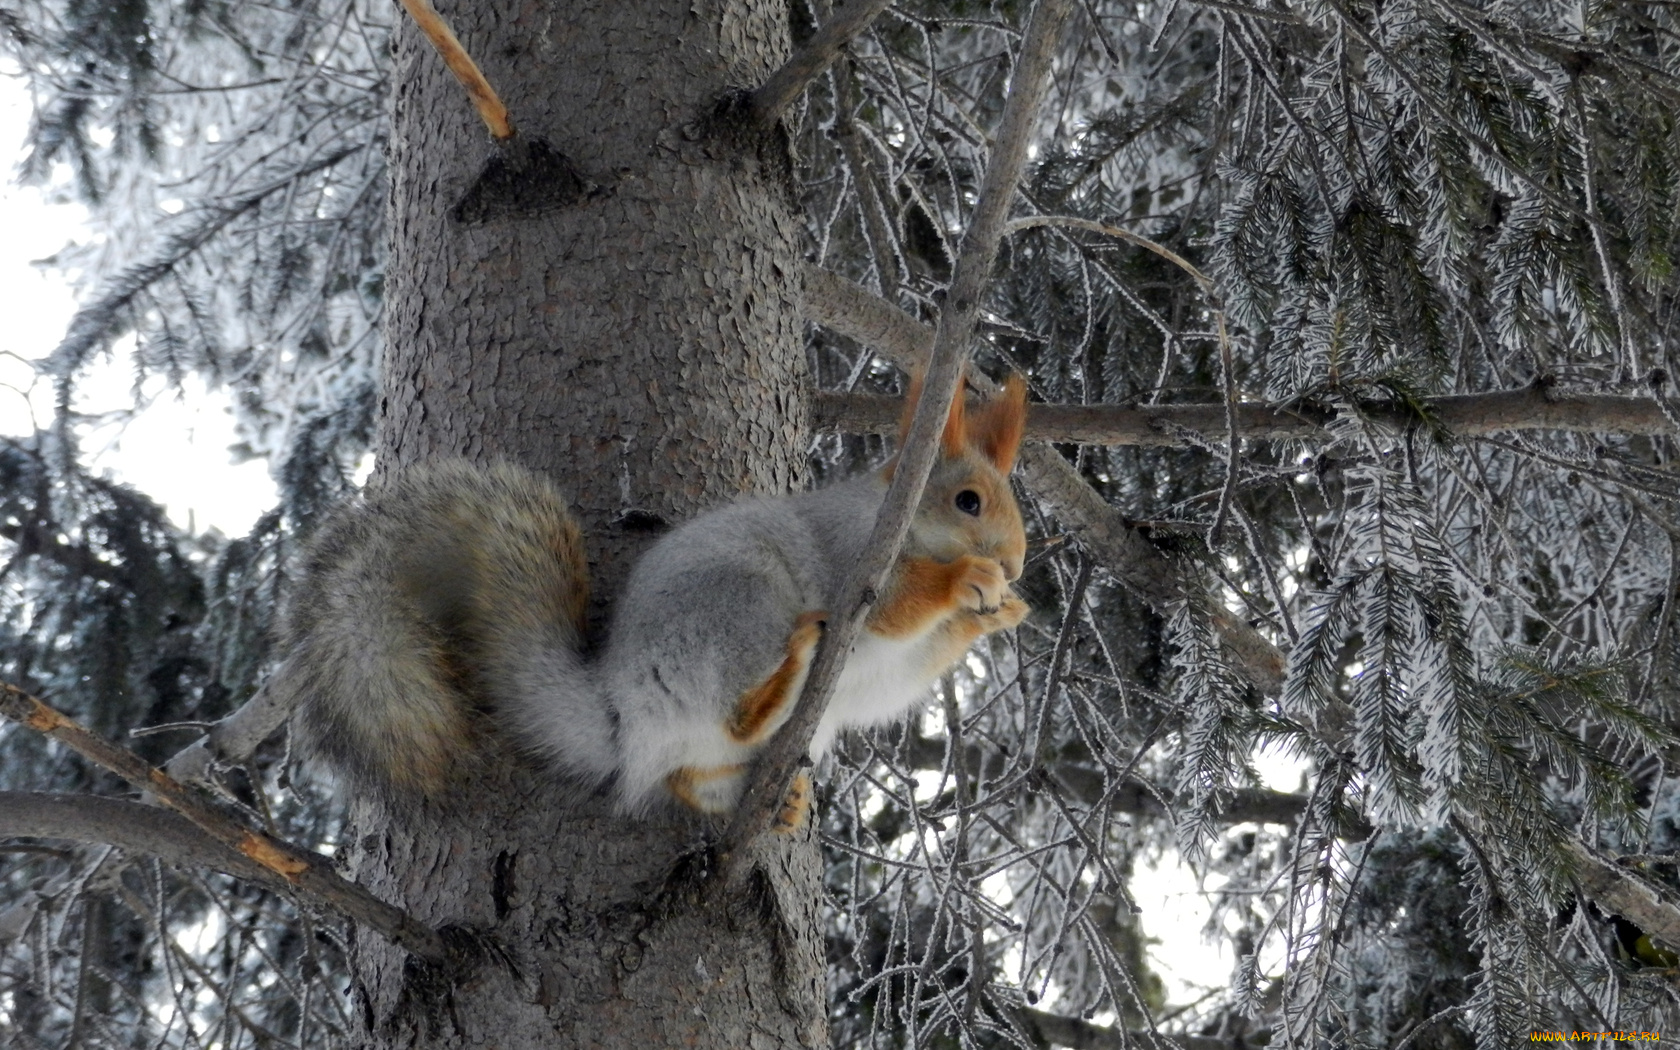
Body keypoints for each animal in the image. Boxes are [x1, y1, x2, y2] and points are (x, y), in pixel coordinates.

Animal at [275, 376, 1028, 826]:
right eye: (967, 501)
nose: (1018, 562)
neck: (898, 519)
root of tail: (625, 716)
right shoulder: (854, 557)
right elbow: (894, 604)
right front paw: (968, 581)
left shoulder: (901, 664)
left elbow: (909, 667)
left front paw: (1004, 610)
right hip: (738, 609)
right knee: (736, 717)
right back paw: (784, 680)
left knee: (692, 777)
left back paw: (777, 800)